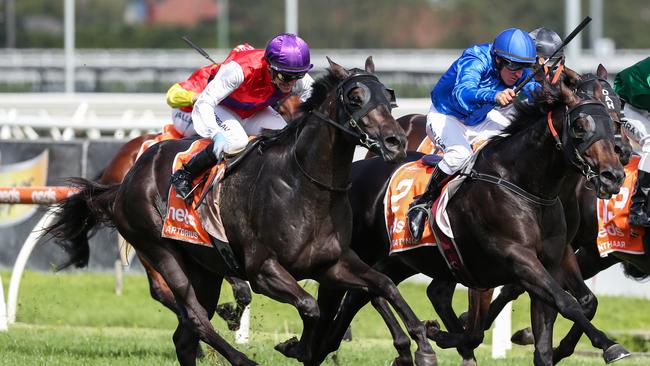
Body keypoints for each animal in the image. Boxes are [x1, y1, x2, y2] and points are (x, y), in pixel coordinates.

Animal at [45, 58, 440, 366]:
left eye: (388, 96)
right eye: (355, 97)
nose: (395, 142)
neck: (305, 185)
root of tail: (126, 178)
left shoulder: (334, 262)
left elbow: (384, 285)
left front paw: (422, 341)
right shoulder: (263, 270)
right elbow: (310, 306)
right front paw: (300, 346)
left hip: (203, 270)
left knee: (185, 336)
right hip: (161, 252)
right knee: (192, 316)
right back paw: (242, 358)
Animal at [308, 70, 628, 364]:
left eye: (615, 118)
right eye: (579, 126)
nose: (614, 173)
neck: (525, 185)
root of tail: (355, 171)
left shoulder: (555, 257)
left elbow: (563, 321)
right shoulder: (516, 258)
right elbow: (564, 303)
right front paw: (608, 343)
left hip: (400, 260)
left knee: (364, 294)